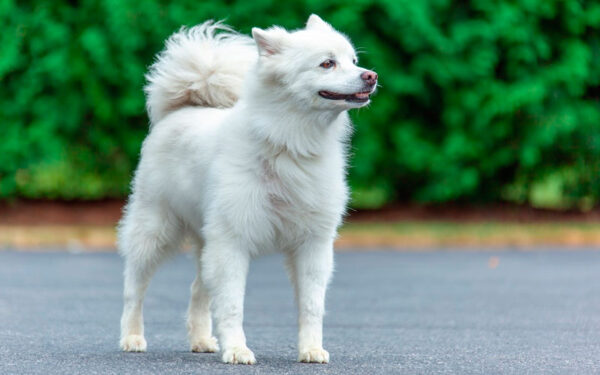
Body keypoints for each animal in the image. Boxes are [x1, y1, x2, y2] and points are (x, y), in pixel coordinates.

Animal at [119, 13, 378, 364]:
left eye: (353, 61)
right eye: (327, 63)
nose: (371, 76)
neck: (288, 144)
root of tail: (181, 110)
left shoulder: (313, 244)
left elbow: (312, 306)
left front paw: (311, 349)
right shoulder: (232, 242)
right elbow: (232, 305)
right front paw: (237, 350)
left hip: (206, 241)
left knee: (197, 290)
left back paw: (201, 340)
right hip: (155, 230)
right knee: (134, 288)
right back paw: (132, 337)